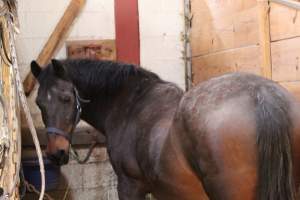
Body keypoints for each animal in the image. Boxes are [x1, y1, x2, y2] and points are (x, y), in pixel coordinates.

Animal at [31, 58, 300, 199]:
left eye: (66, 98)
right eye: (39, 103)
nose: (56, 153)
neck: (128, 103)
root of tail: (261, 94)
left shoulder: (130, 186)